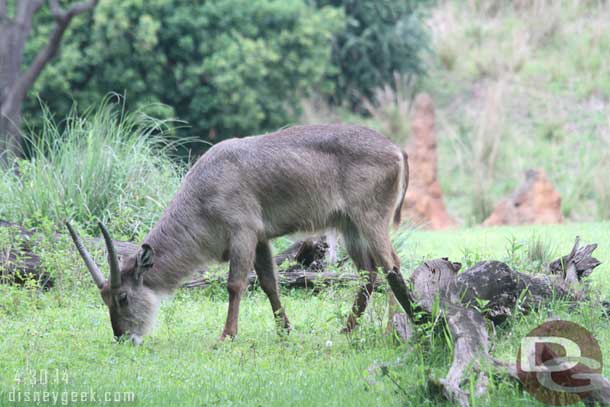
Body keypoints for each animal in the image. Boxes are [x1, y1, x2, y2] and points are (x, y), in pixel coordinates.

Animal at [66, 124, 410, 344]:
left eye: (122, 297)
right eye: (104, 299)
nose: (122, 338)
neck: (202, 190)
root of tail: (396, 148)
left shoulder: (242, 233)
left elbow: (235, 284)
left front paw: (226, 336)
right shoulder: (261, 239)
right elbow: (270, 283)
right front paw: (285, 330)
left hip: (370, 219)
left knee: (392, 265)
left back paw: (397, 328)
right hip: (350, 227)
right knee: (369, 274)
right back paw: (347, 330)